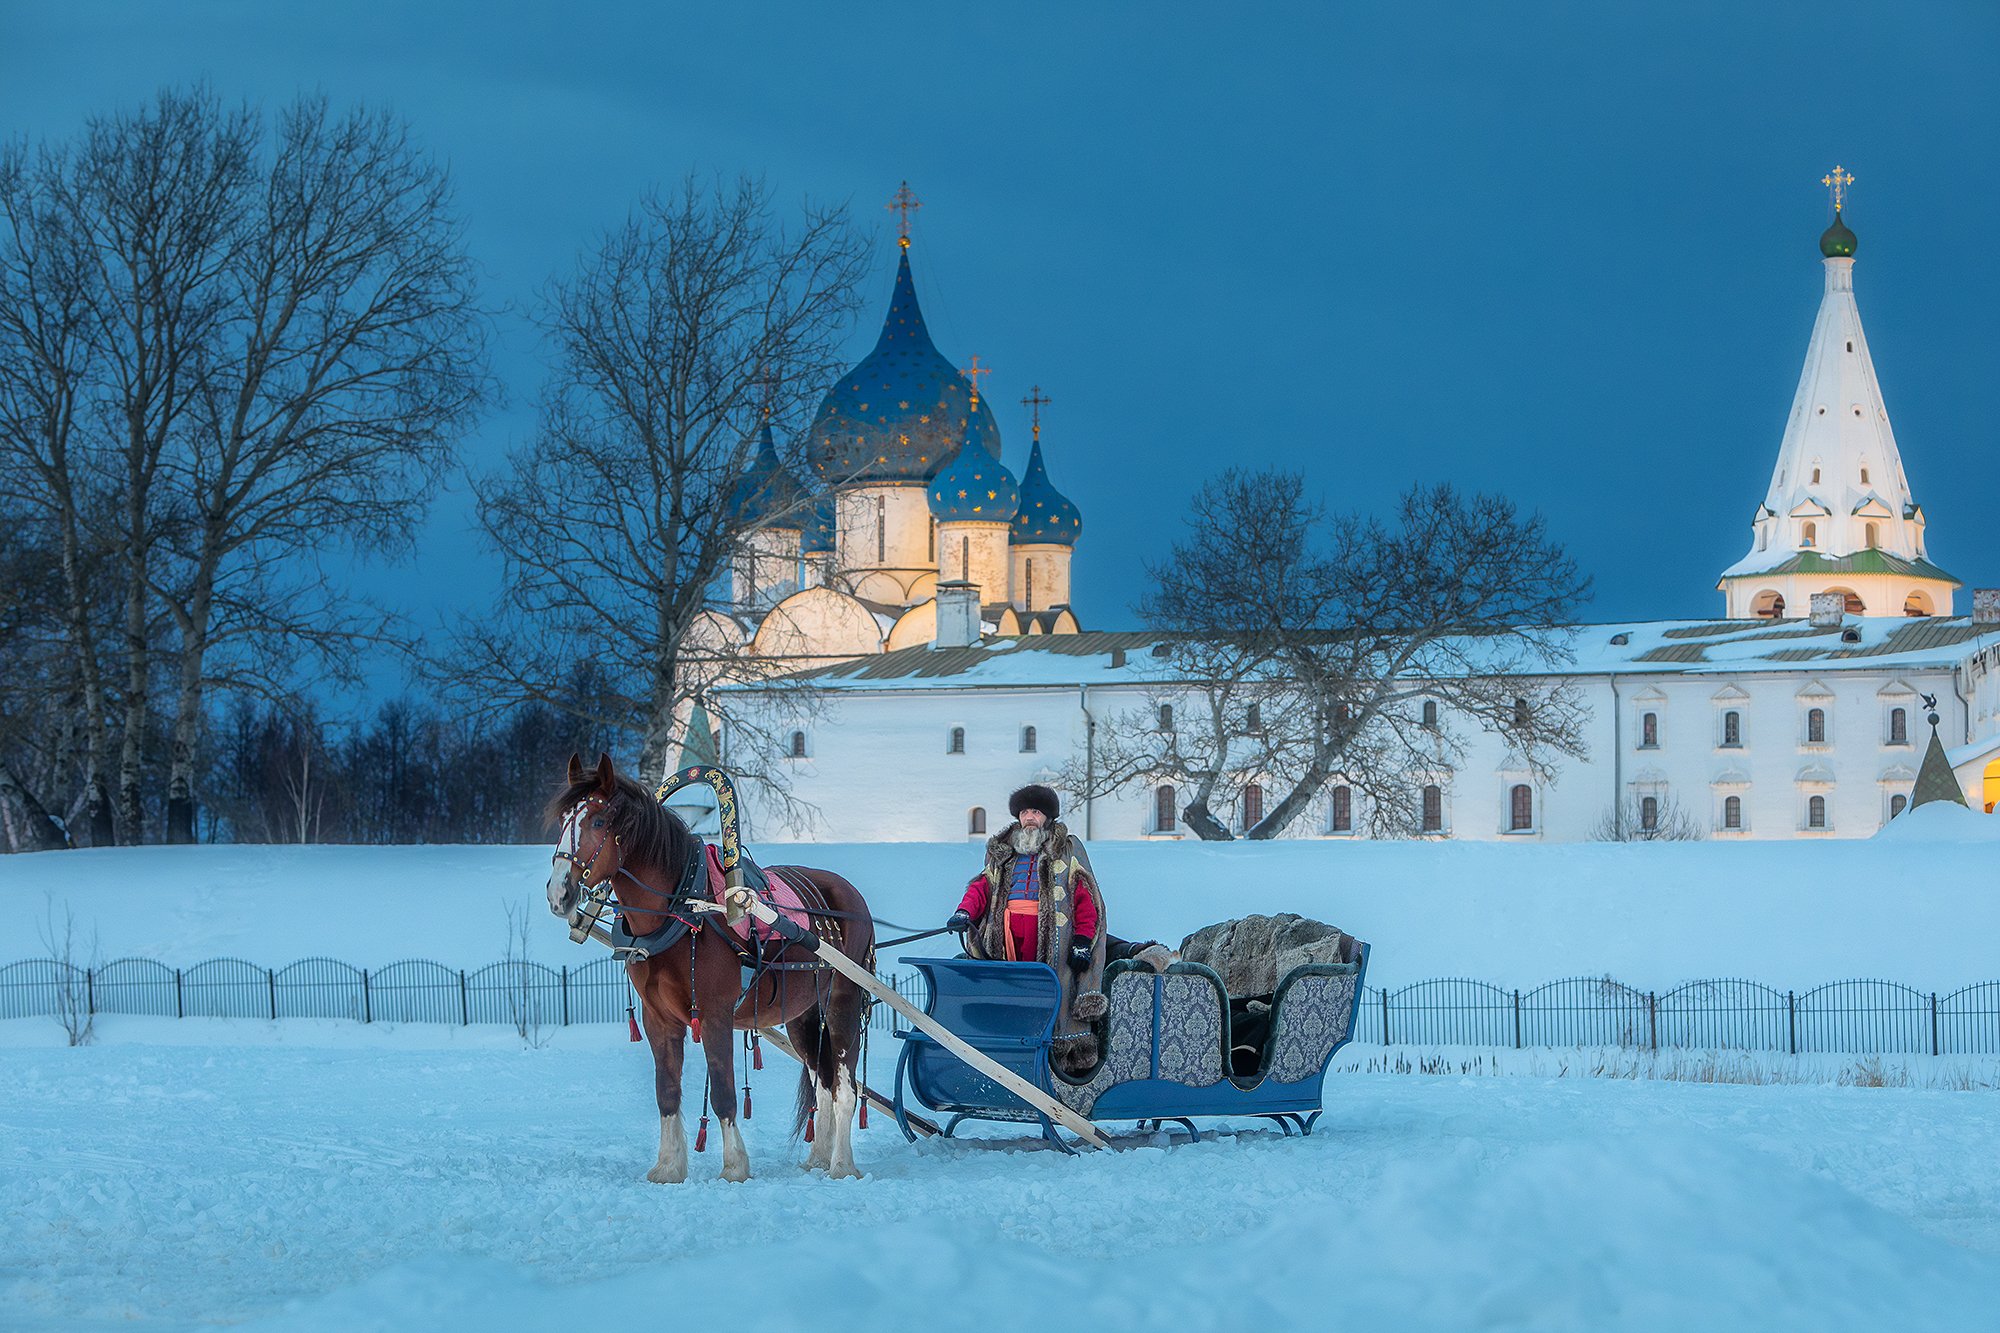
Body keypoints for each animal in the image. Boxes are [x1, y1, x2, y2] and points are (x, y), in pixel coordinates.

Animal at [544, 752, 872, 1176]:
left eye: (598, 822)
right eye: (563, 821)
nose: (559, 893)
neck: (683, 910)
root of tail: (848, 892)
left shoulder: (716, 1013)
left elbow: (723, 1093)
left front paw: (734, 1167)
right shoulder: (658, 1018)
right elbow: (667, 1092)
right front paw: (668, 1167)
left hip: (844, 999)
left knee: (845, 1087)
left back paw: (842, 1164)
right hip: (802, 1014)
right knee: (825, 1082)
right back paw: (818, 1157)